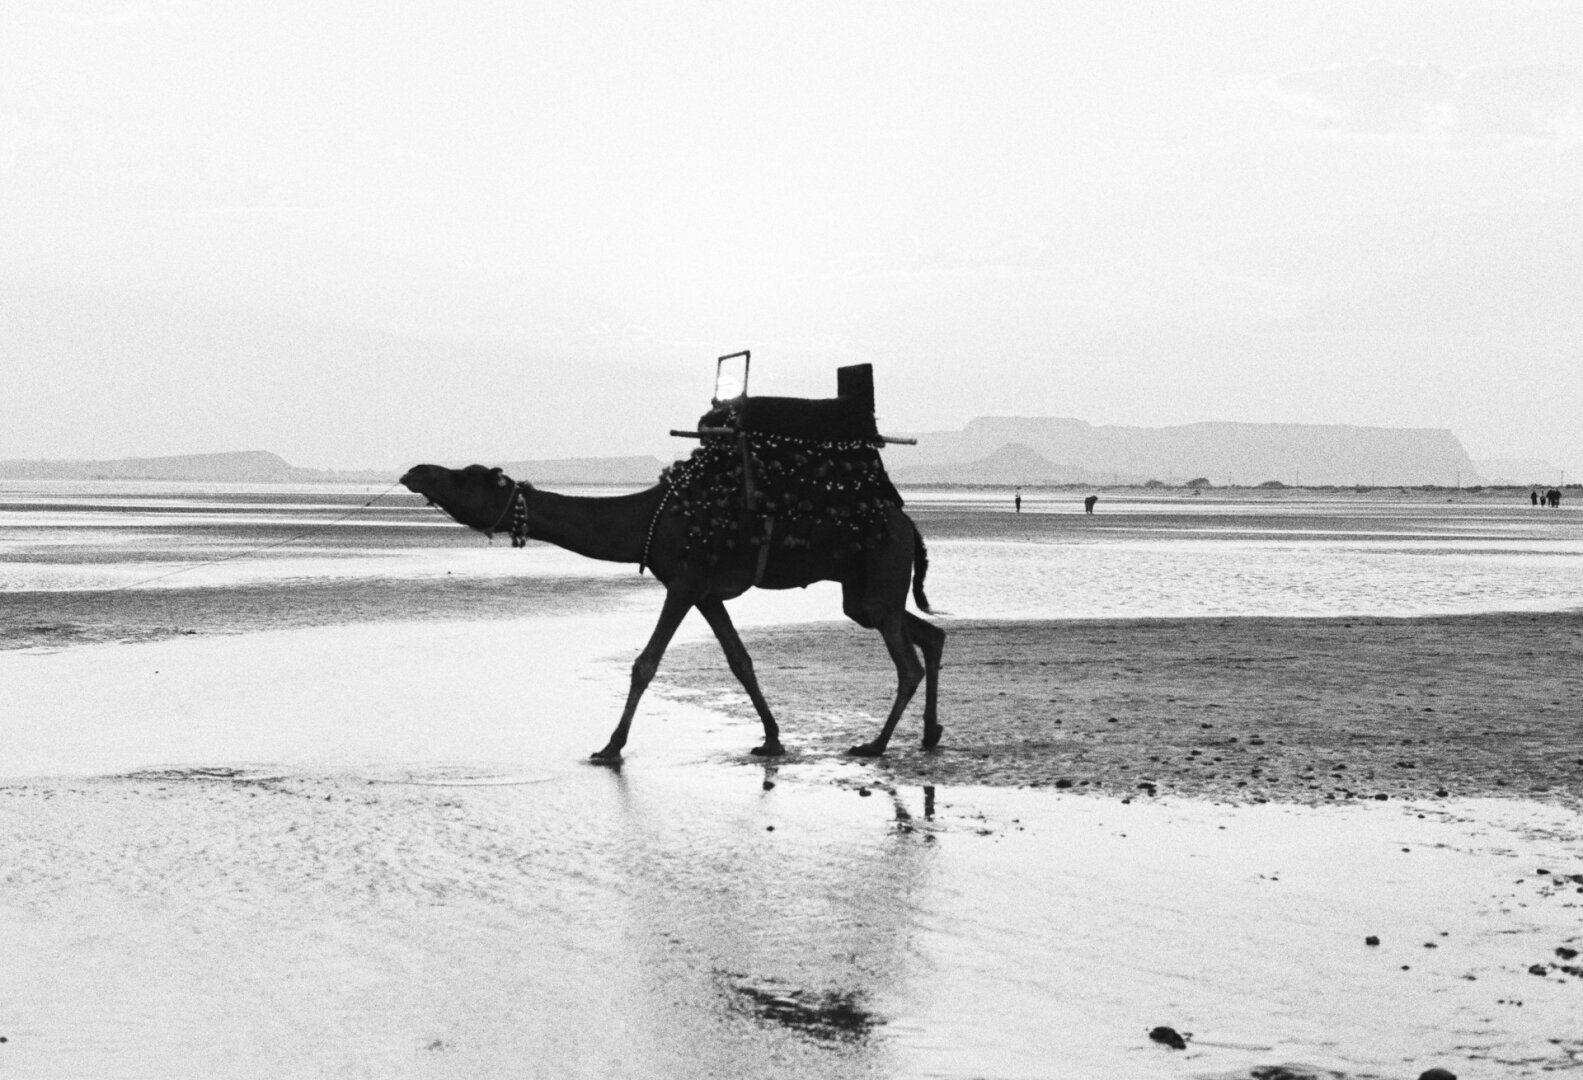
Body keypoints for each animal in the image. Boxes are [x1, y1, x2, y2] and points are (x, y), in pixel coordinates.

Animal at [398, 459, 937, 756]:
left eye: (464, 477)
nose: (415, 472)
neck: (647, 518)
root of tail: (911, 524)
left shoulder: (683, 581)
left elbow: (646, 663)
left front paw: (611, 747)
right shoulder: (706, 593)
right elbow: (740, 661)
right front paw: (771, 738)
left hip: (879, 575)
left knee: (906, 662)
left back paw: (876, 745)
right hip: (862, 590)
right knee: (930, 633)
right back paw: (931, 733)